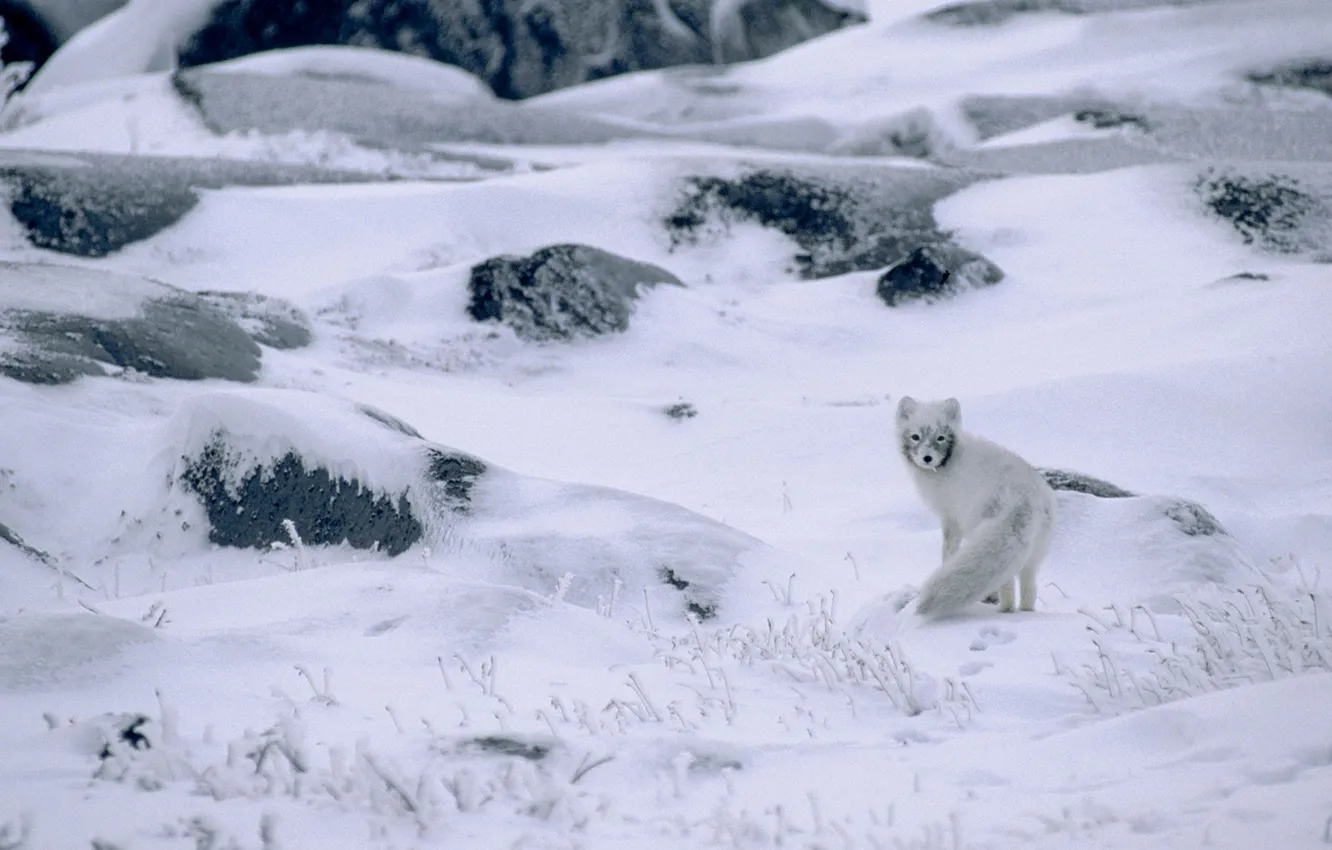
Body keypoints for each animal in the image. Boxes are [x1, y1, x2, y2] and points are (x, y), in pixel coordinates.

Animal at [896, 396, 1056, 618]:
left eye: (940, 438)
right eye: (915, 436)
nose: (927, 458)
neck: (948, 463)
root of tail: (1027, 498)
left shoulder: (951, 518)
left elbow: (948, 552)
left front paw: (945, 563)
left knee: (1007, 586)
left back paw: (1003, 609)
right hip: (1033, 555)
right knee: (1028, 589)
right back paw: (1025, 612)